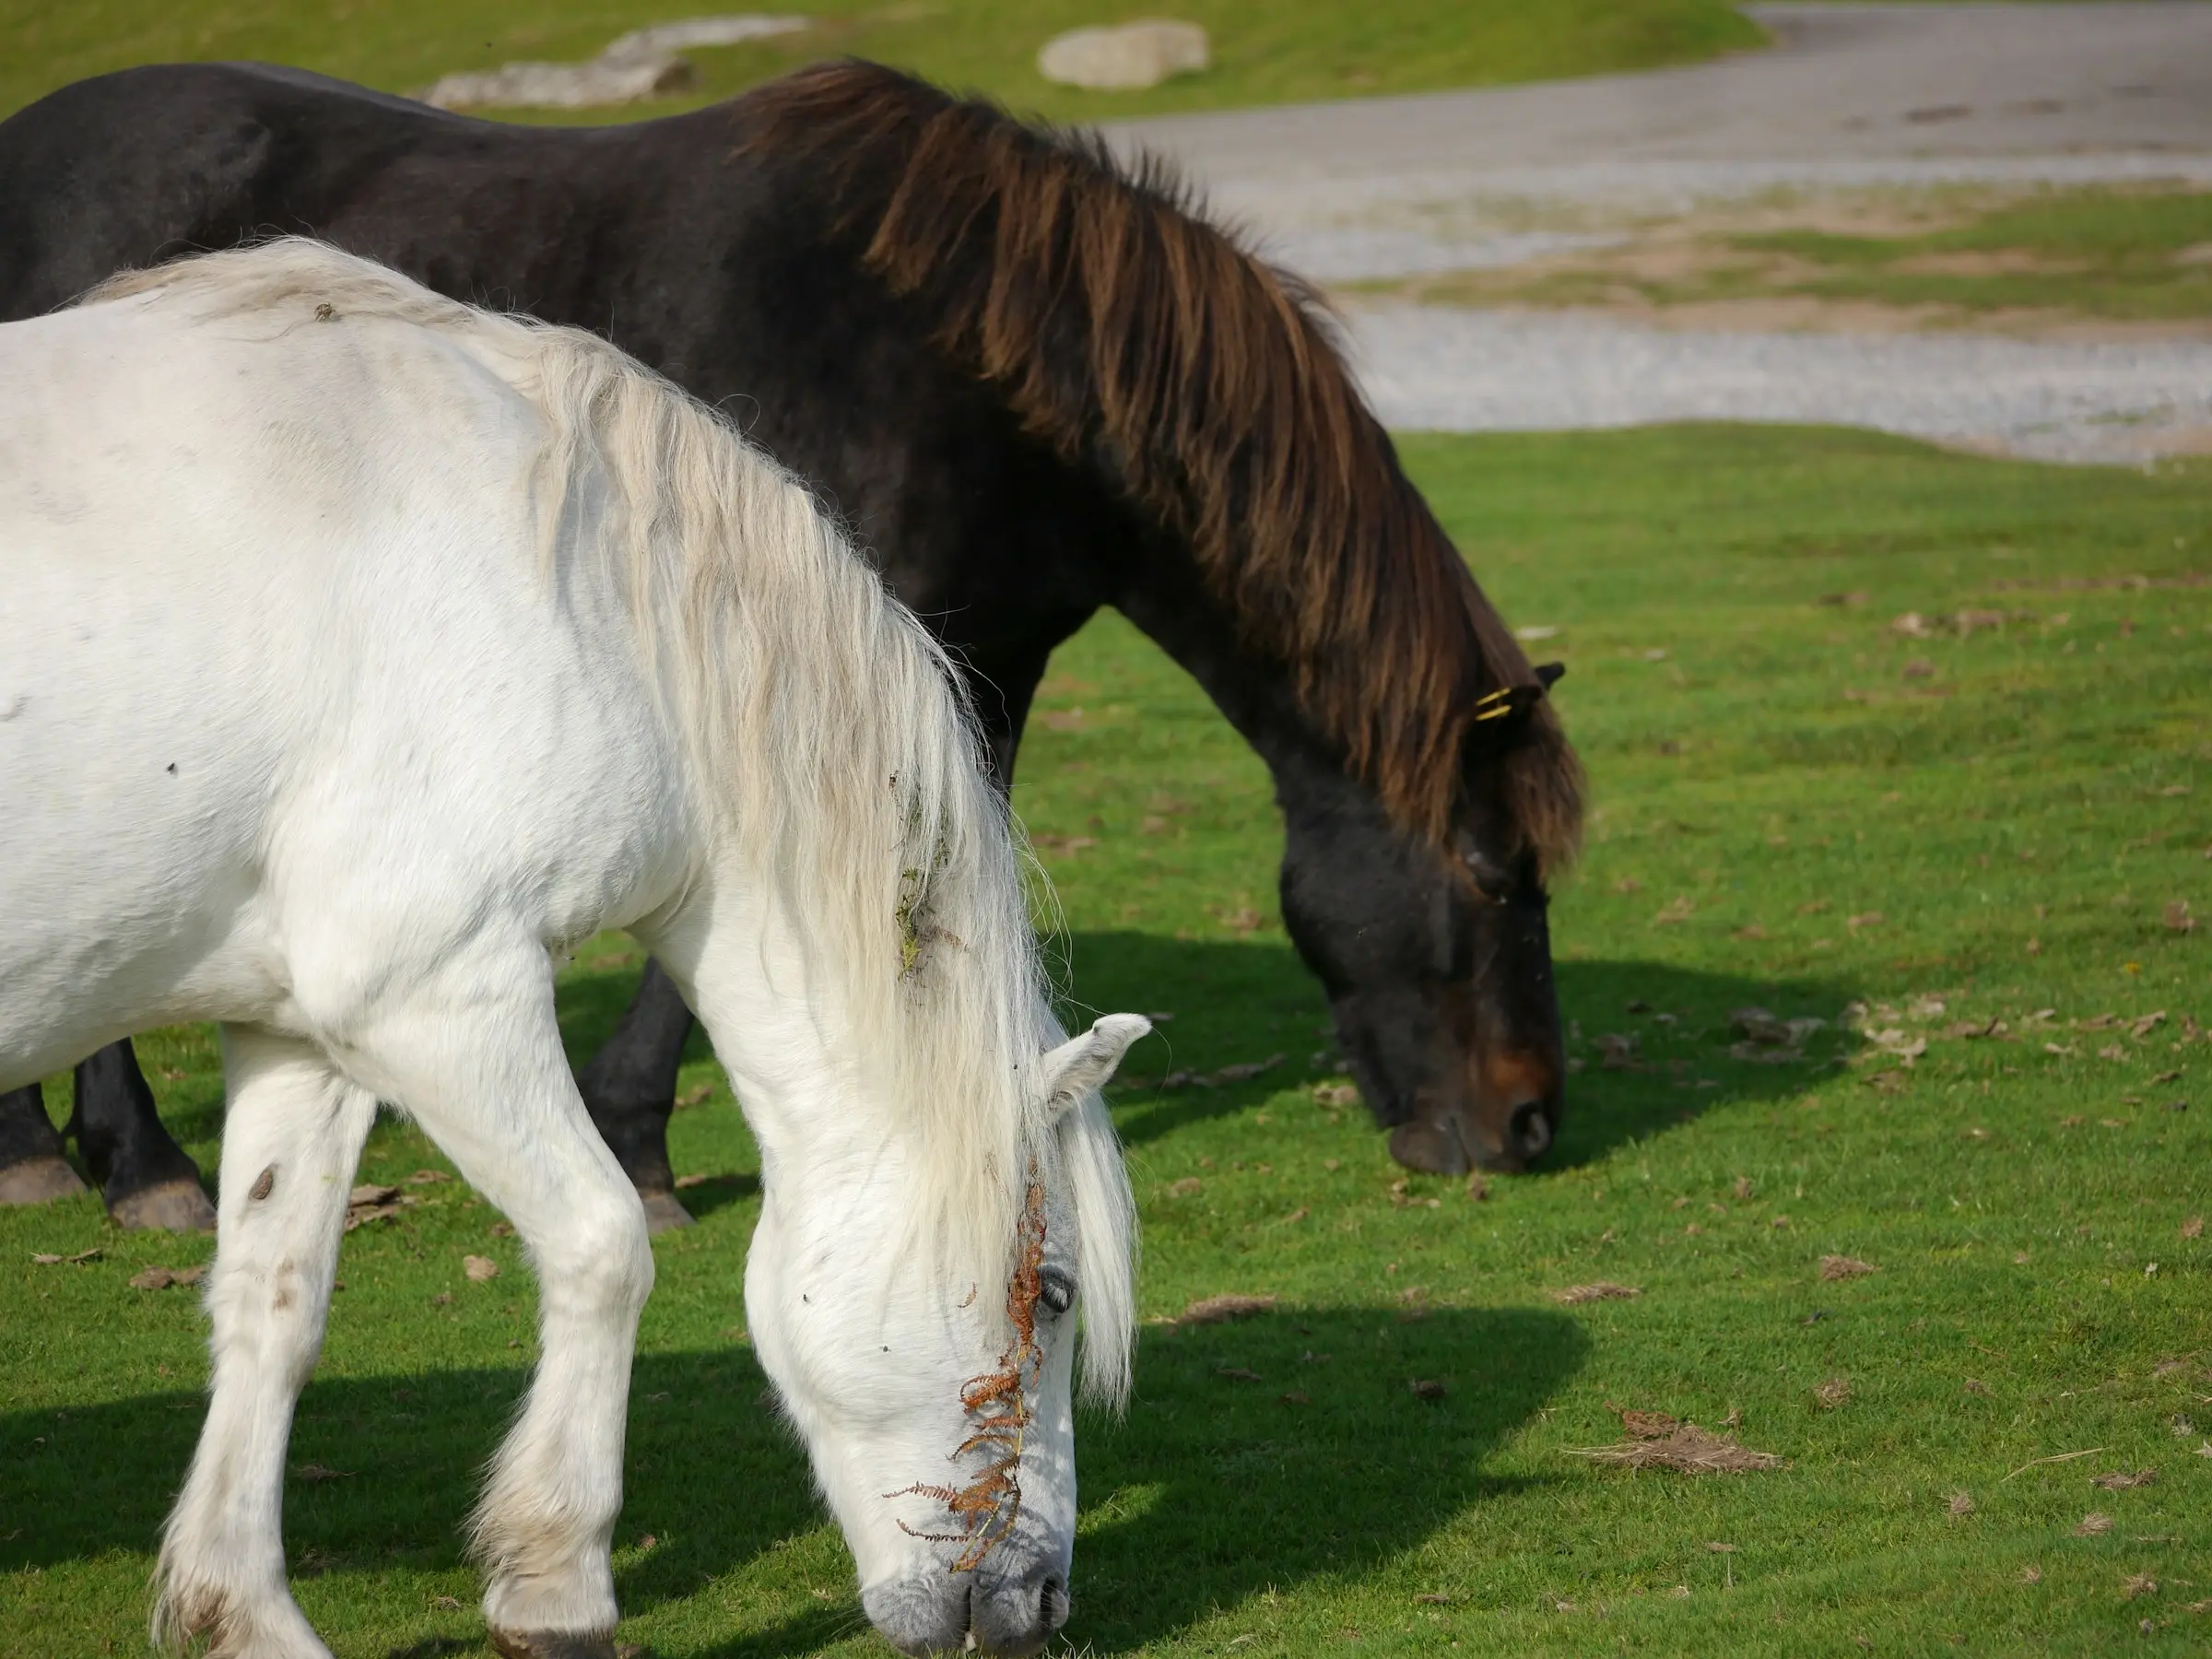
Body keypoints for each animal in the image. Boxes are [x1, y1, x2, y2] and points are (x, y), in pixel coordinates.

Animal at [0, 58, 1593, 1230]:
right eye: (1492, 873)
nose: (1526, 1127)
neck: (971, 362)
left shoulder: (979, 667)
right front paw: (642, 1145)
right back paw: (128, 1164)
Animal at [0, 243, 1141, 1659]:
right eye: (1054, 1291)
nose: (1038, 1604)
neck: (579, 590)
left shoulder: (300, 1032)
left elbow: (275, 1301)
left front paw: (242, 1608)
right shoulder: (437, 997)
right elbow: (605, 1244)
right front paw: (558, 1586)